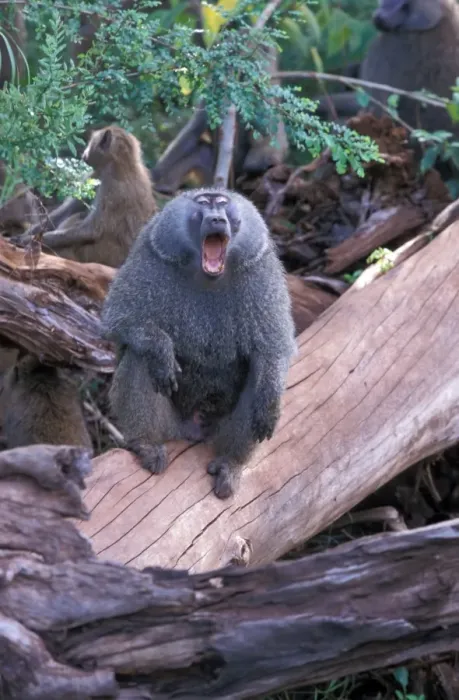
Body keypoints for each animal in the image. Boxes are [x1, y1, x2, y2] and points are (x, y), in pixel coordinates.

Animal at [14, 126, 157, 268]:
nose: (84, 153)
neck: (122, 163)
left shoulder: (110, 183)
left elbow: (91, 230)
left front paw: (26, 240)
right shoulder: (96, 175)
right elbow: (65, 213)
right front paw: (24, 236)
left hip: (103, 254)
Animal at [102, 188, 296, 499]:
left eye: (223, 204)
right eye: (204, 204)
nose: (216, 219)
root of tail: (193, 429)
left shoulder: (261, 267)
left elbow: (274, 345)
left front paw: (269, 403)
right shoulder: (149, 254)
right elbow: (119, 321)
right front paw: (161, 350)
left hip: (219, 430)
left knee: (257, 376)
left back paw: (231, 463)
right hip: (170, 426)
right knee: (139, 357)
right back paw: (145, 445)